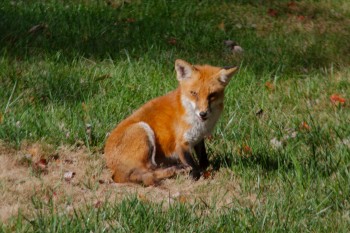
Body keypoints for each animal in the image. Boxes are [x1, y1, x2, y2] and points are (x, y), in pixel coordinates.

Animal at [104, 59, 238, 186]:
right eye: (194, 93)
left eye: (212, 95)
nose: (203, 113)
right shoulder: (181, 144)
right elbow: (194, 166)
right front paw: (196, 177)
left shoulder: (198, 138)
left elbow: (204, 160)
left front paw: (206, 169)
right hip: (143, 129)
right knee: (143, 172)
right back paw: (175, 170)